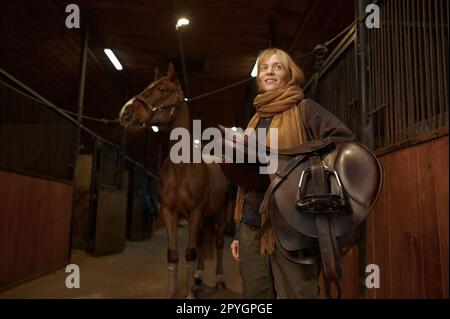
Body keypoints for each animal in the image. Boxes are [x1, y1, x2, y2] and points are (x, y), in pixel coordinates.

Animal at [118, 63, 230, 298]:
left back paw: (219, 279)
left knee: (218, 243)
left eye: (161, 89)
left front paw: (188, 294)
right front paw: (174, 293)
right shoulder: (170, 213)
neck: (182, 170)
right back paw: (198, 277)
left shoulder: (195, 214)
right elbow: (174, 254)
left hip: (220, 216)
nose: (125, 112)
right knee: (200, 242)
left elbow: (189, 253)